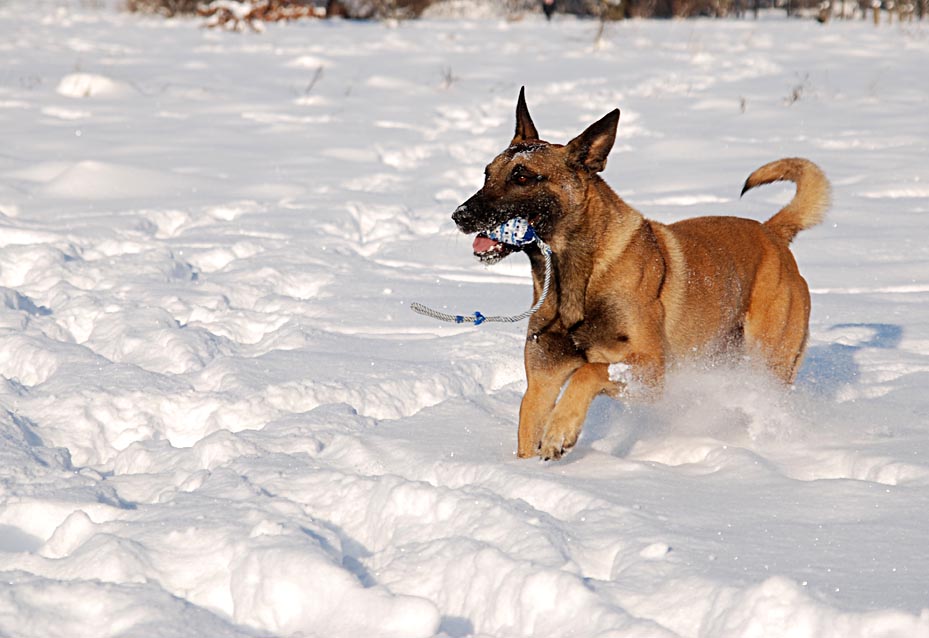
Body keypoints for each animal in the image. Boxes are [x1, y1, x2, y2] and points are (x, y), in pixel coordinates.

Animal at [454, 87, 832, 462]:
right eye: (487, 174)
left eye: (522, 176)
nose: (460, 215)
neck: (576, 277)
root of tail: (772, 233)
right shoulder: (542, 383)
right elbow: (528, 427)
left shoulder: (648, 370)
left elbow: (590, 371)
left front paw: (561, 431)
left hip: (767, 361)